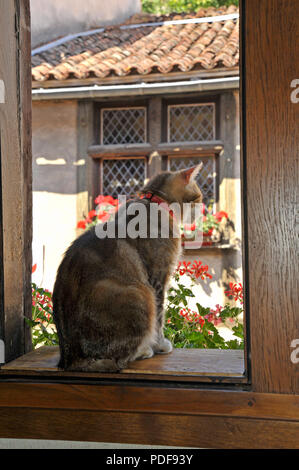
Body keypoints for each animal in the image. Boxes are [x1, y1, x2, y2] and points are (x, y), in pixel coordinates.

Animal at [53, 164, 204, 370]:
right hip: (140, 295)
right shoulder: (158, 278)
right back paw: (144, 351)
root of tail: (70, 359)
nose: (204, 208)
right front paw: (160, 344)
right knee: (121, 357)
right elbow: (159, 318)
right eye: (198, 197)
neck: (155, 204)